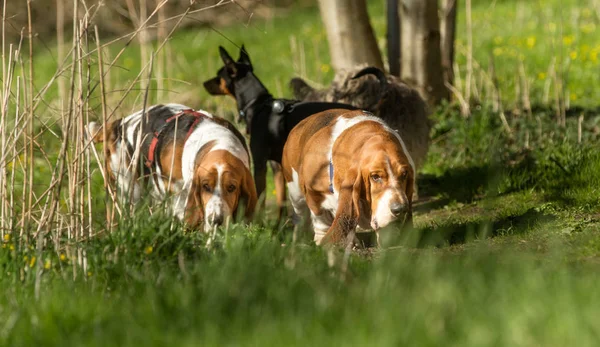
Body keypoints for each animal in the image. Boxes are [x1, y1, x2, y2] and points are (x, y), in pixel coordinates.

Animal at [204, 44, 358, 219]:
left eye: (219, 75)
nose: (204, 83)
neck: (258, 105)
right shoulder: (277, 166)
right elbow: (281, 199)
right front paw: (280, 224)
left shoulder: (260, 163)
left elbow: (260, 199)